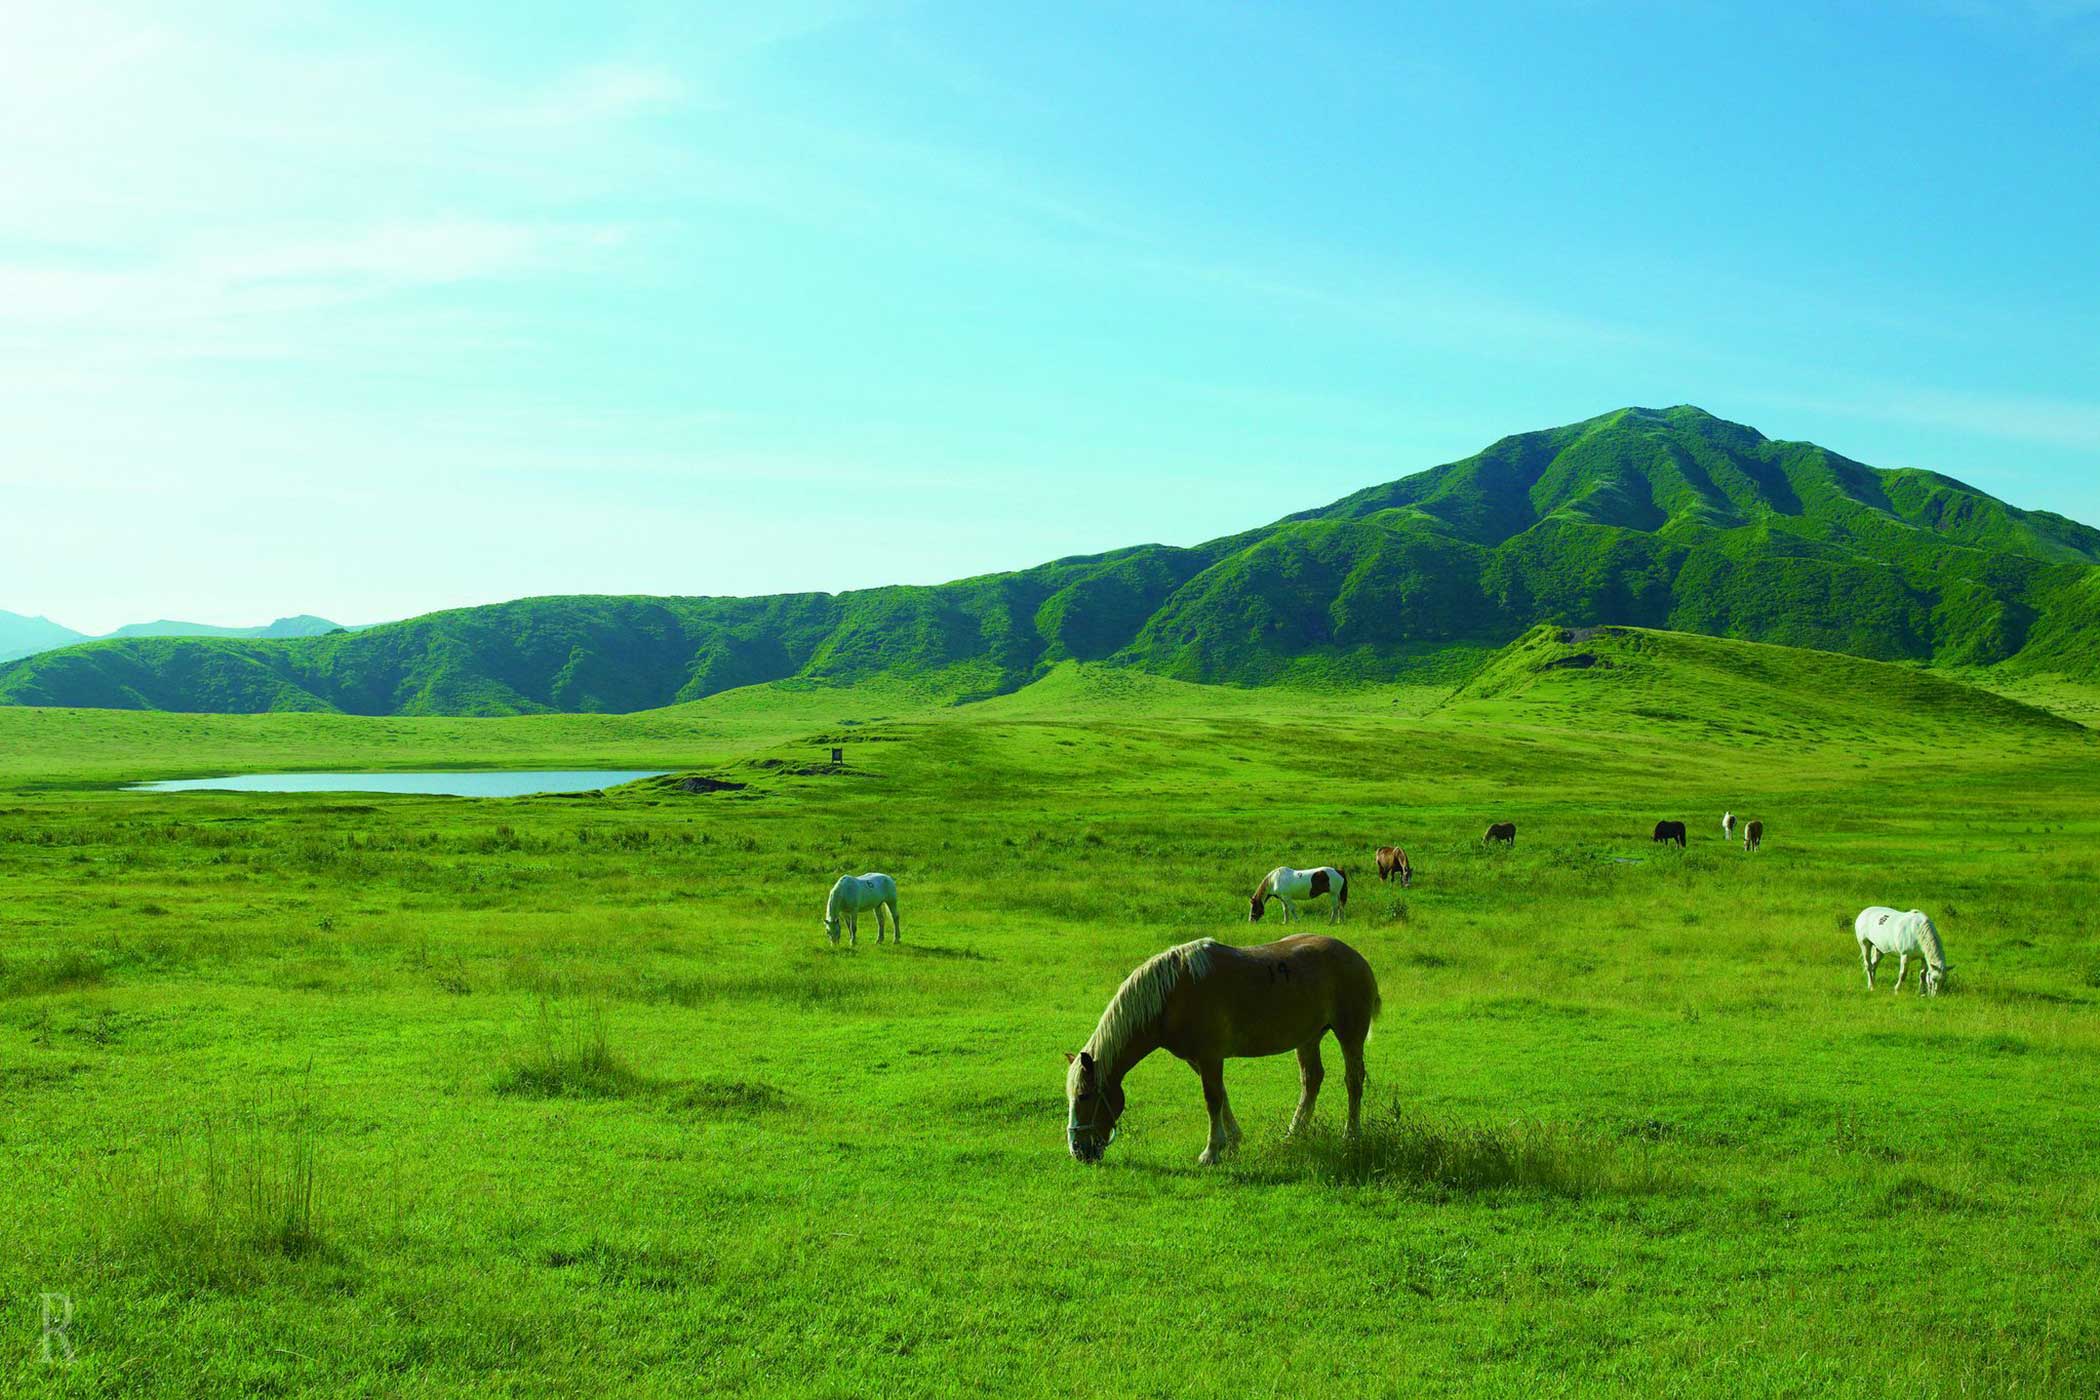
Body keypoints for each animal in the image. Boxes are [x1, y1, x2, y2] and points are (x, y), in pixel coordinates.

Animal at [1058, 936, 1385, 1167]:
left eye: (1084, 1096)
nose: (1077, 1151)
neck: (1172, 993)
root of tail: (1357, 958)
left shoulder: (1210, 1057)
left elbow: (1212, 1100)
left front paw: (1212, 1151)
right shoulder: (1199, 1061)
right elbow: (1222, 1097)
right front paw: (1233, 1141)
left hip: (1349, 1035)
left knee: (1353, 1081)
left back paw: (1351, 1135)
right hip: (1308, 1038)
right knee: (1312, 1080)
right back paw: (1294, 1134)